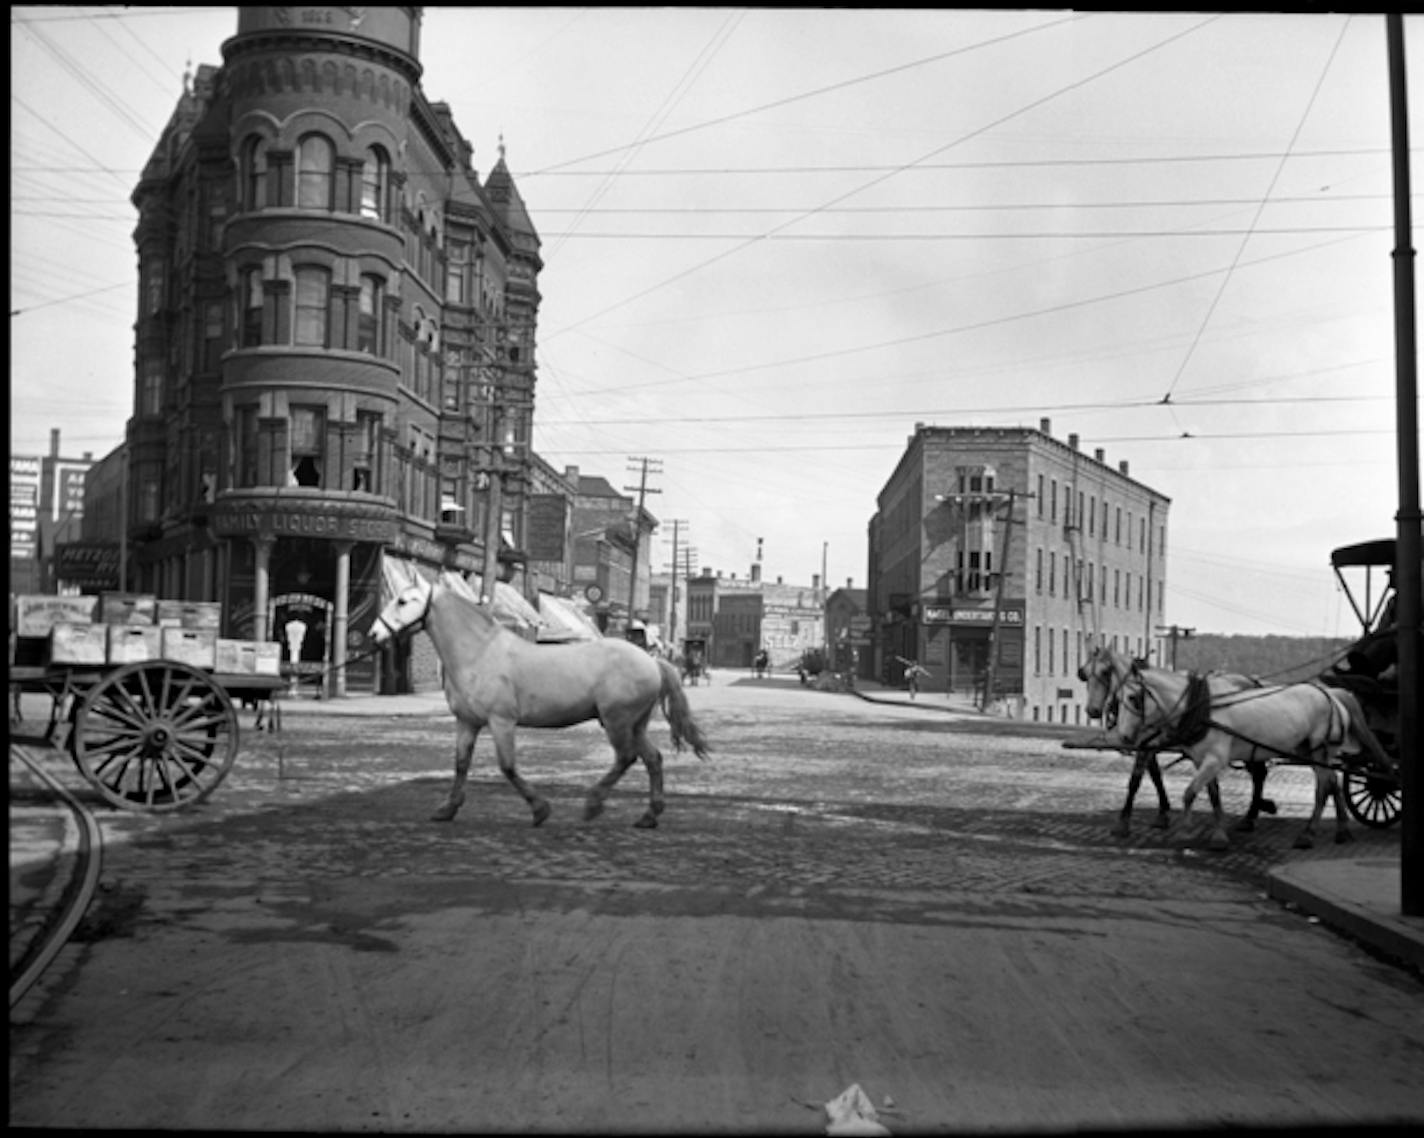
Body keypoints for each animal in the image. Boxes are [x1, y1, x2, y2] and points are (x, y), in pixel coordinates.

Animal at [373, 578, 712, 826]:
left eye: (403, 601)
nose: (374, 634)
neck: (479, 652)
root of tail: (652, 661)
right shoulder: (467, 722)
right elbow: (461, 764)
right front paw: (447, 809)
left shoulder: (501, 721)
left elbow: (508, 766)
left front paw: (540, 809)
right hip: (634, 724)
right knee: (653, 758)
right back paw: (648, 816)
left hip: (617, 721)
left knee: (626, 758)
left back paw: (593, 805)